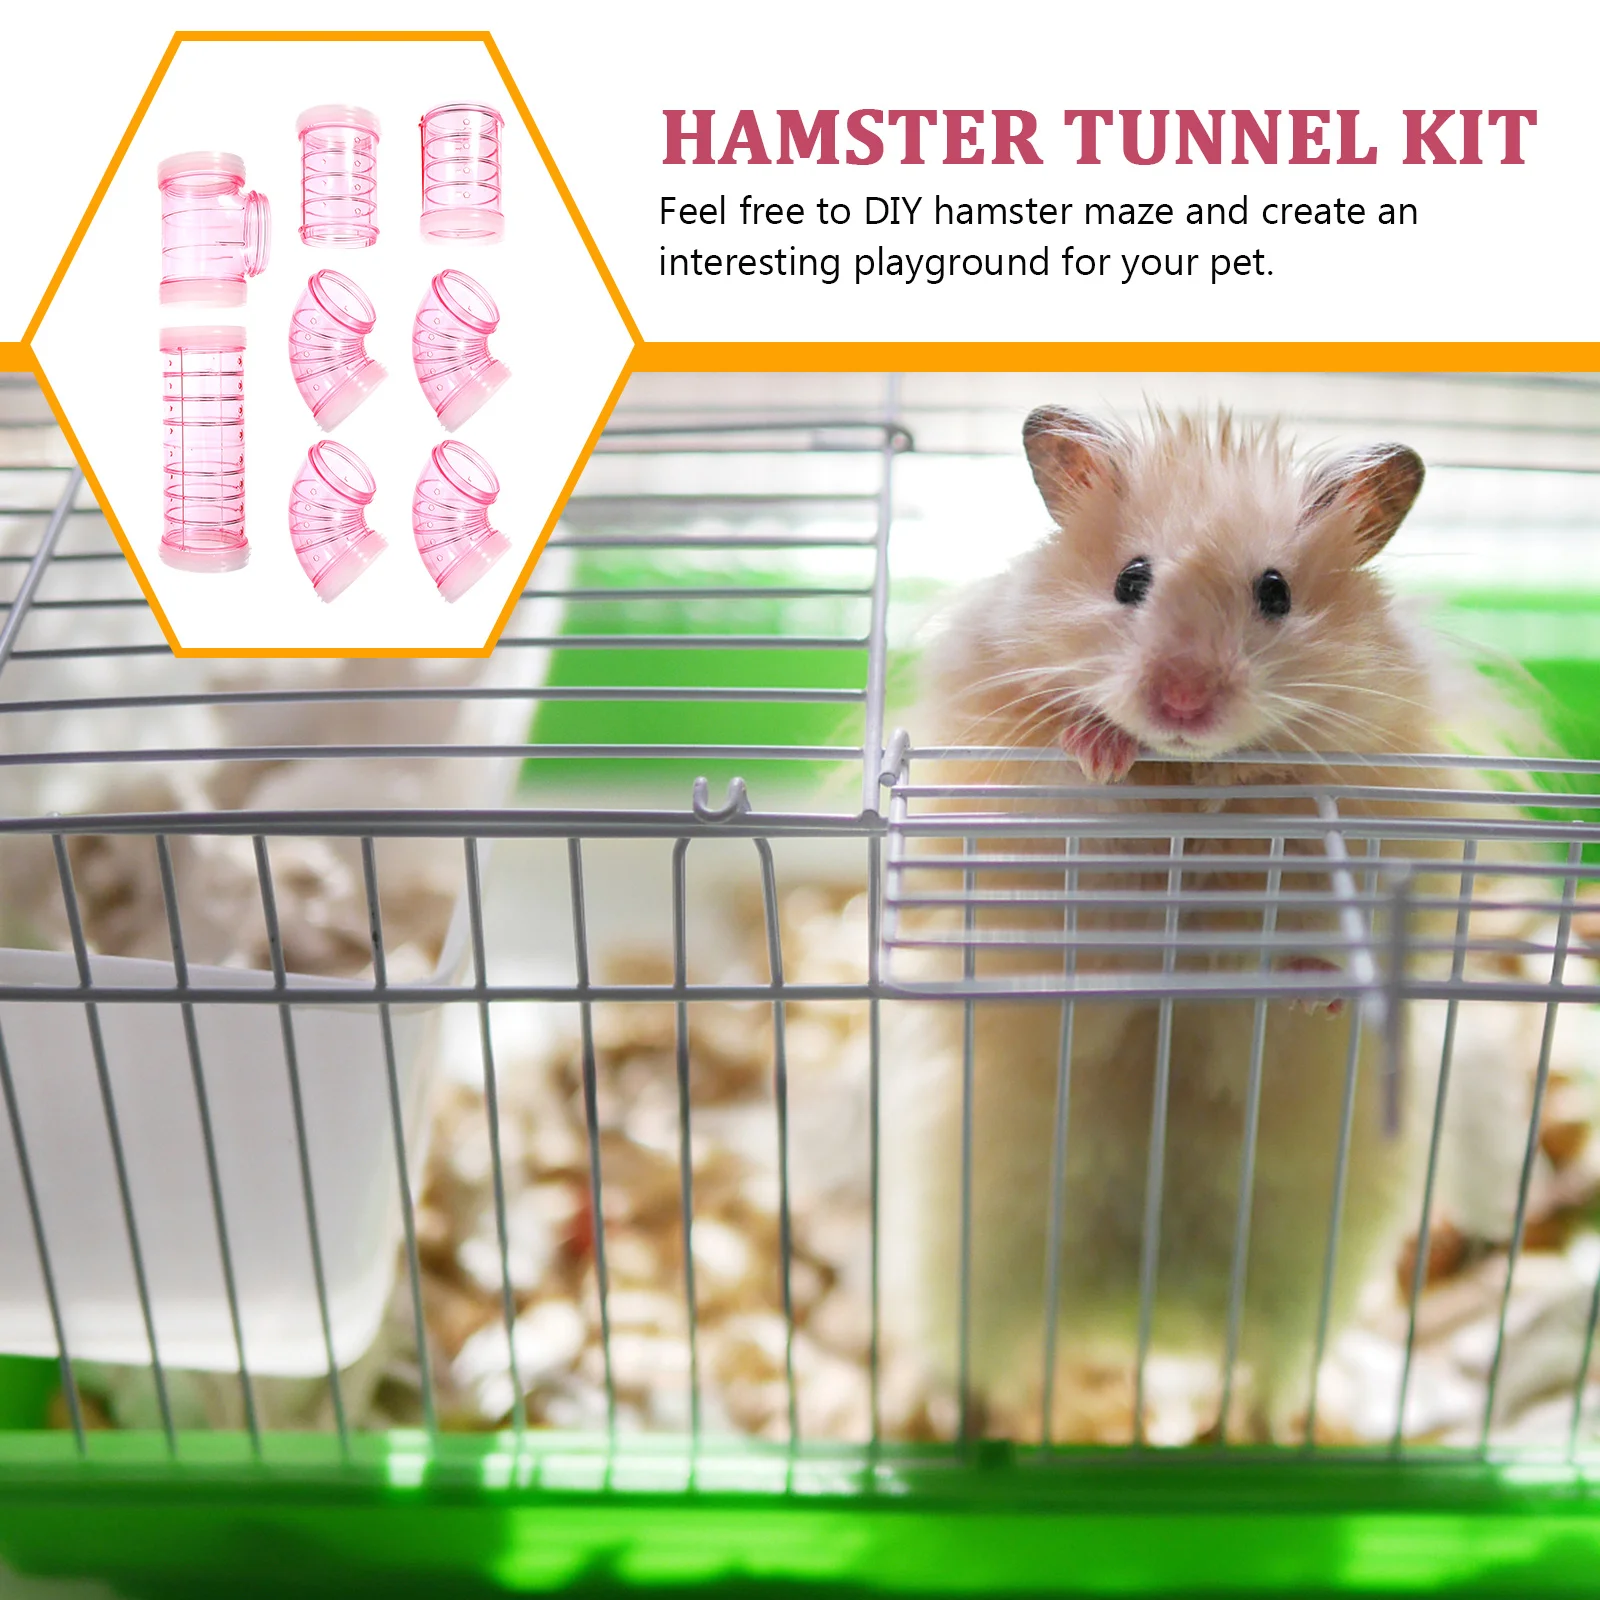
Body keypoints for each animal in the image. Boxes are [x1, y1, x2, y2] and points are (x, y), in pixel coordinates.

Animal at [883, 406, 1490, 1443]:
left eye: (1275, 591)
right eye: (1131, 578)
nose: (1182, 703)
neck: (1186, 779)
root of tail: (1144, 1325)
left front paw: (1320, 989)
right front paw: (1101, 747)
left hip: (1304, 1290)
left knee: (1267, 1378)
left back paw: (1252, 1435)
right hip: (967, 1266)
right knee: (975, 1365)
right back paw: (966, 1429)